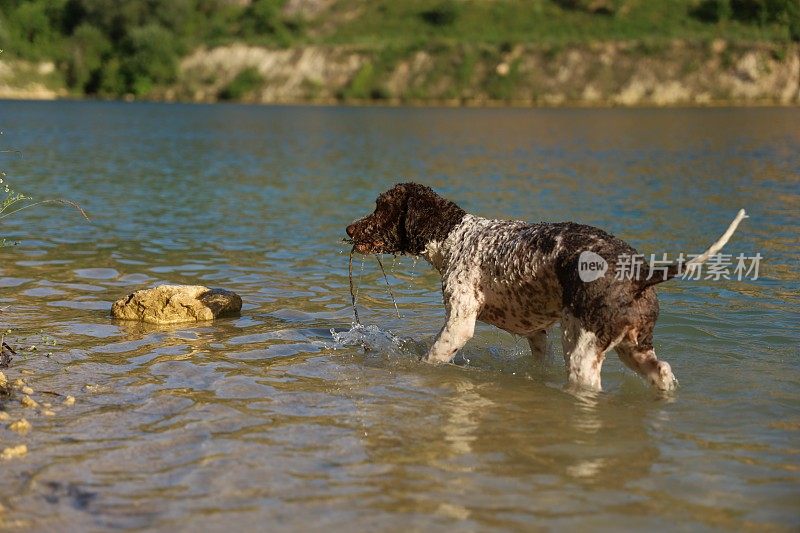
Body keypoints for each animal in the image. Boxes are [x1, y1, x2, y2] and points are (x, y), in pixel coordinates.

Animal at [346, 183, 752, 390]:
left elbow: (430, 359)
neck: (457, 236)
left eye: (381, 206)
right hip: (634, 348)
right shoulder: (536, 334)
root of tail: (640, 273)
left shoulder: (459, 324)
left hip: (585, 351)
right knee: (664, 372)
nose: (349, 229)